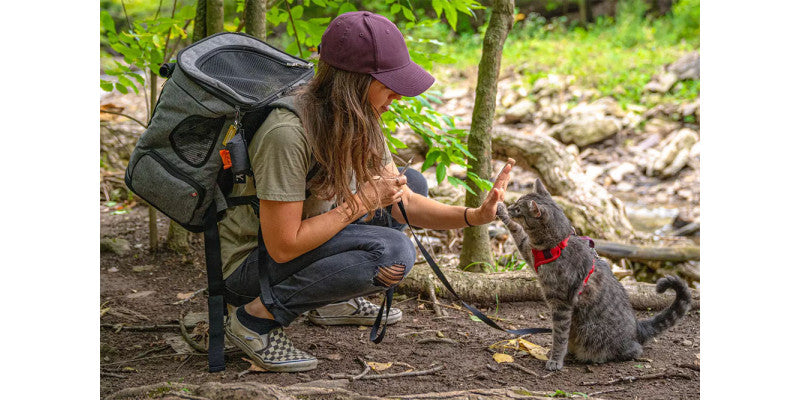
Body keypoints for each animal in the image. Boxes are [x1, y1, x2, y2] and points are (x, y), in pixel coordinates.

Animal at [496, 180, 692, 370]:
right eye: (516, 203)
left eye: (519, 209)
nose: (510, 206)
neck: (557, 243)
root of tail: (638, 328)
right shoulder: (529, 252)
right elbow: (517, 231)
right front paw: (500, 209)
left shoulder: (561, 303)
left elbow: (559, 335)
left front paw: (556, 360)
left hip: (594, 332)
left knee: (635, 350)